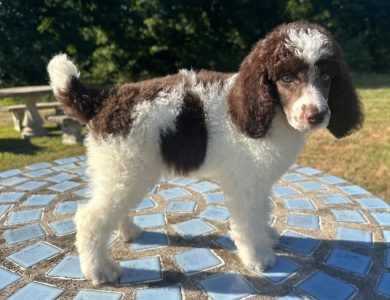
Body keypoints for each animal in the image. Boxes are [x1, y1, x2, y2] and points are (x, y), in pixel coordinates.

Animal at [48, 22, 362, 284]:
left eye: (327, 76)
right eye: (285, 77)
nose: (316, 115)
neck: (267, 110)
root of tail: (104, 98)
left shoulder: (258, 181)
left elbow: (260, 212)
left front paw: (266, 237)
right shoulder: (244, 183)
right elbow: (247, 222)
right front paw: (258, 257)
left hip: (122, 171)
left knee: (112, 208)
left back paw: (127, 232)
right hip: (125, 168)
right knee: (90, 218)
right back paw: (99, 270)